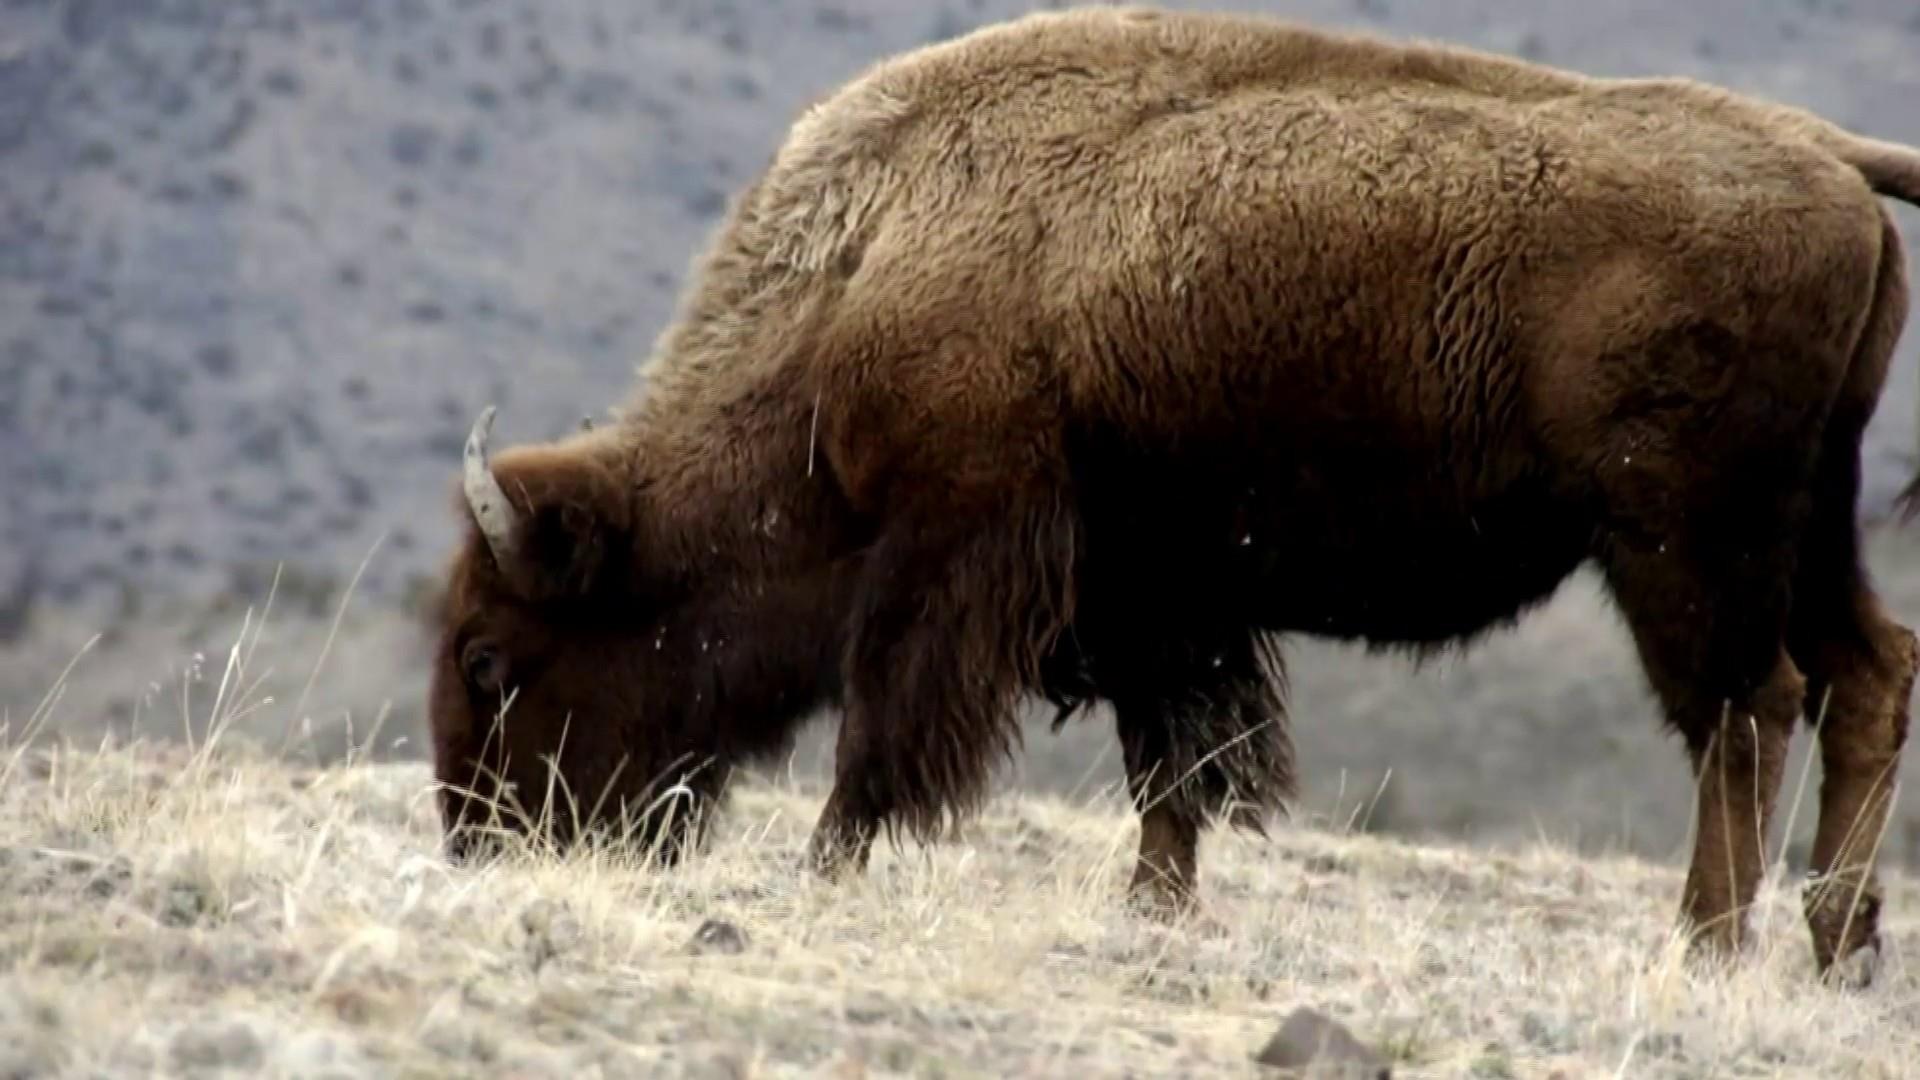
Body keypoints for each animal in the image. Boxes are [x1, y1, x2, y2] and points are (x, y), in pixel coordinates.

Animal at [428, 6, 1920, 983]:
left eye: (493, 659)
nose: (478, 842)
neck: (871, 264)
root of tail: (1825, 152)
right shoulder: (1155, 590)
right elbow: (1179, 764)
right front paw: (1155, 909)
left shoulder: (956, 554)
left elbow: (886, 738)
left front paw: (829, 869)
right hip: (1810, 522)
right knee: (1865, 673)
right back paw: (1833, 943)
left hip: (1682, 542)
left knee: (1749, 707)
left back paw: (1708, 946)